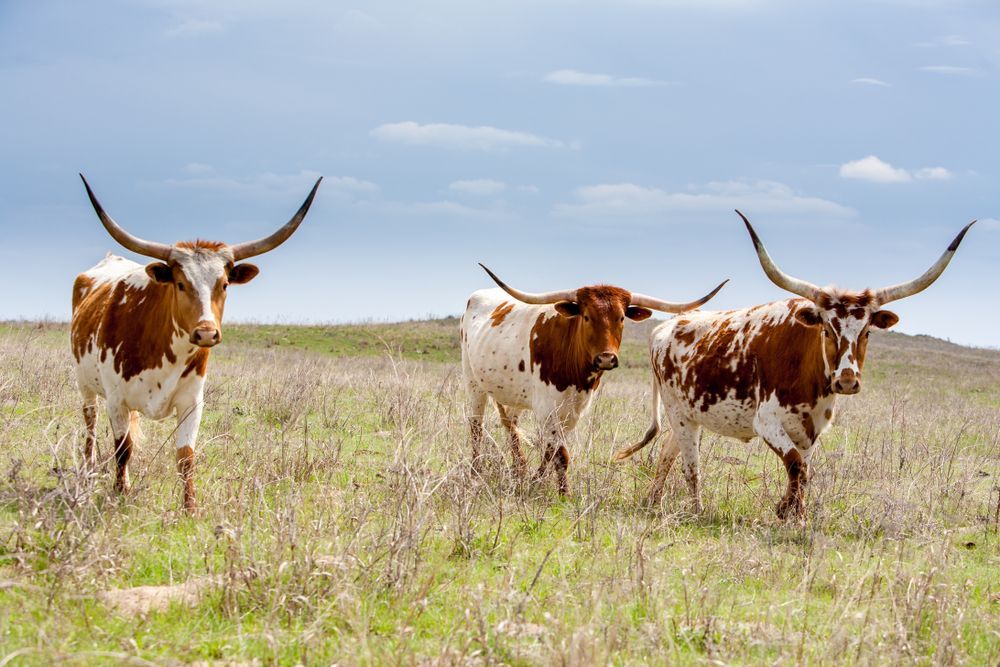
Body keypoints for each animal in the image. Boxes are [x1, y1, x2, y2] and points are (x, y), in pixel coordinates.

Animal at [71, 174, 322, 513]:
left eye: (225, 284)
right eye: (180, 283)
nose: (206, 333)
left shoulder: (192, 401)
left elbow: (185, 458)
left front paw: (190, 509)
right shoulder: (116, 400)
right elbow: (123, 450)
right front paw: (120, 494)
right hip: (86, 386)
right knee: (90, 426)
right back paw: (86, 473)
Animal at [461, 265, 728, 493]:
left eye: (621, 318)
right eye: (587, 317)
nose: (606, 358)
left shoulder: (573, 410)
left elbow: (552, 450)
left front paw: (537, 482)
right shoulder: (548, 408)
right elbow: (559, 454)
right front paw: (563, 495)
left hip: (515, 395)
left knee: (511, 425)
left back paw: (519, 469)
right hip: (473, 382)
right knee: (476, 426)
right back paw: (476, 472)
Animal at [614, 211, 975, 519]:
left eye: (868, 332)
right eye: (827, 329)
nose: (847, 381)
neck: (810, 380)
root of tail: (666, 326)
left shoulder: (812, 429)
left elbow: (804, 470)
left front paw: (793, 513)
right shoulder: (767, 421)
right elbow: (796, 466)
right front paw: (789, 514)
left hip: (690, 415)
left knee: (667, 453)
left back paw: (653, 502)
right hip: (680, 415)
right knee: (691, 467)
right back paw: (697, 511)